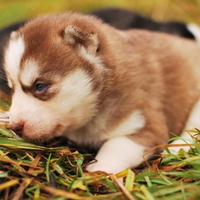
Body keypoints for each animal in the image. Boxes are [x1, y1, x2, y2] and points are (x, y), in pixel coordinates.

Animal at [3, 12, 200, 173]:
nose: (15, 126)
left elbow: (117, 145)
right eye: (12, 88)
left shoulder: (146, 122)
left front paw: (100, 168)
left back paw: (177, 147)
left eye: (40, 86)